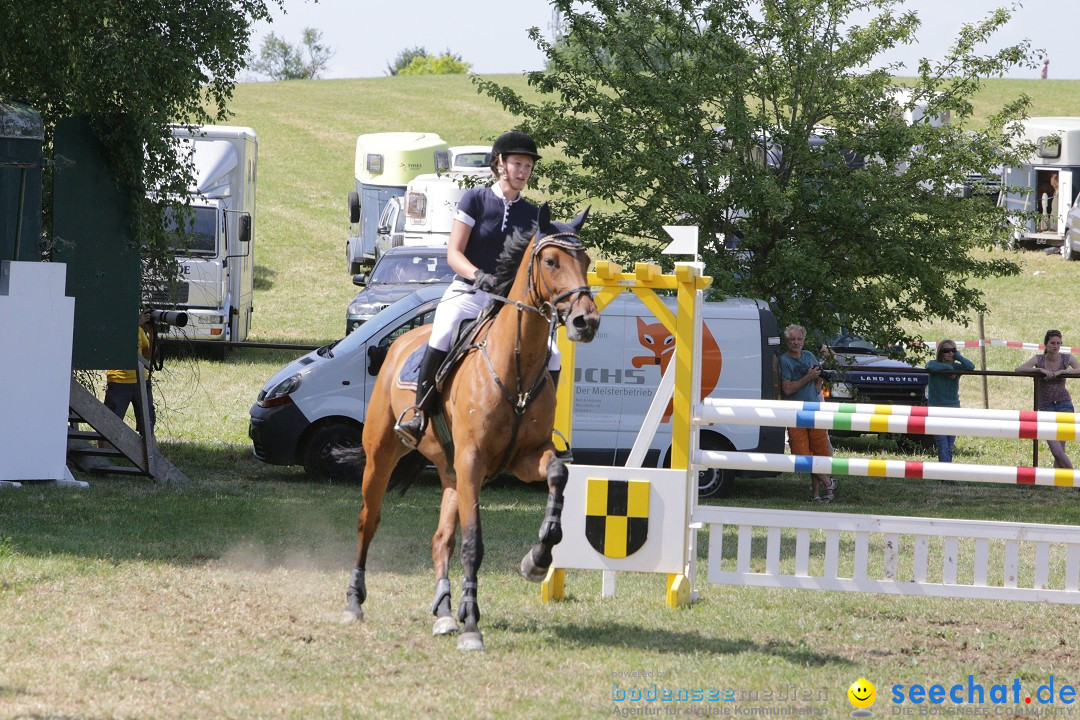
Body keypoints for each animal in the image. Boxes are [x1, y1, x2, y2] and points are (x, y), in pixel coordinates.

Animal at [341, 202, 600, 651]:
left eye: (585, 261)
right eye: (551, 261)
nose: (586, 321)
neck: (514, 365)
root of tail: (401, 342)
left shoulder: (523, 458)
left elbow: (558, 475)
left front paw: (537, 561)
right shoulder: (473, 461)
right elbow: (473, 543)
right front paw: (473, 626)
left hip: (449, 471)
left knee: (440, 538)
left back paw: (445, 612)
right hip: (383, 455)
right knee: (368, 521)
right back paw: (356, 601)